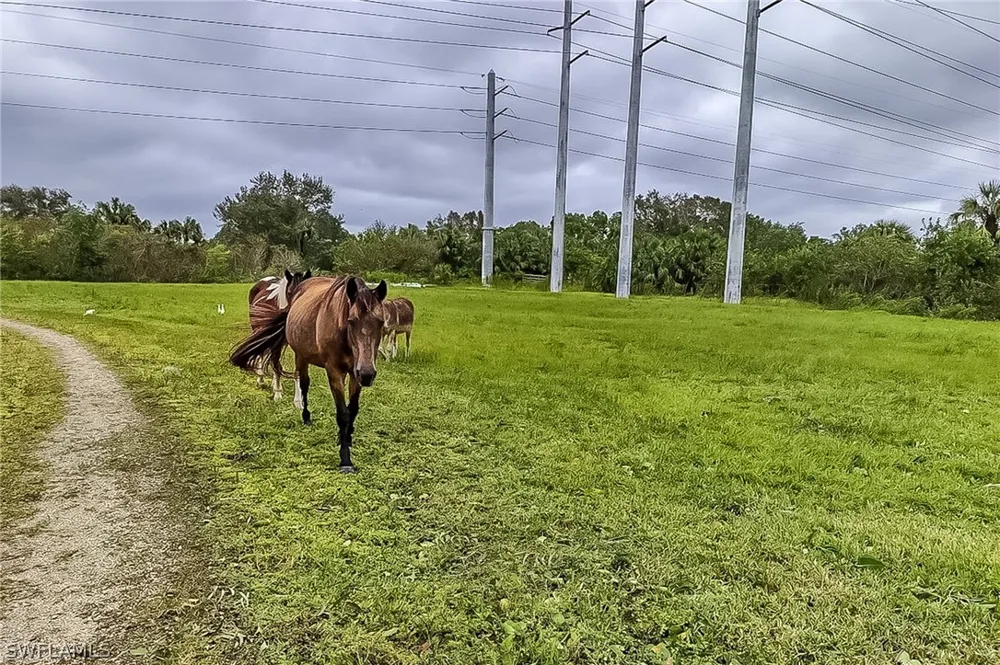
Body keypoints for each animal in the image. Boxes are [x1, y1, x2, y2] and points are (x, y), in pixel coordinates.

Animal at [247, 268, 310, 399]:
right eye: (290, 292)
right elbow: (276, 365)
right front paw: (277, 394)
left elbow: (297, 370)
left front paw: (298, 399)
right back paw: (261, 379)